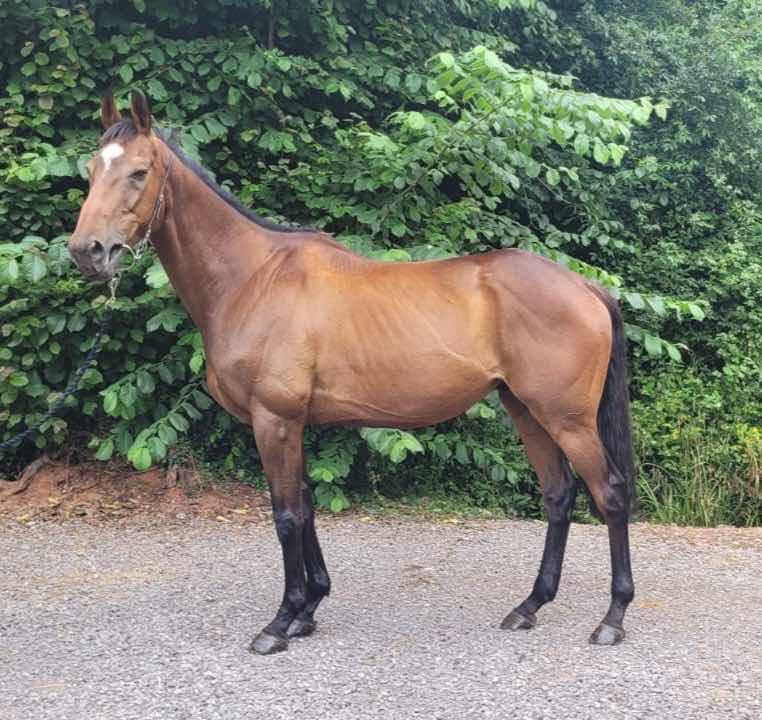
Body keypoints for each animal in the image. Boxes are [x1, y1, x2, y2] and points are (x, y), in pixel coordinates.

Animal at [68, 90, 635, 655]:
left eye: (139, 172)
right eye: (92, 170)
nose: (87, 252)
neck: (253, 278)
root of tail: (586, 286)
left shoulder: (274, 421)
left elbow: (285, 515)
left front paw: (281, 621)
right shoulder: (294, 424)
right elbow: (305, 506)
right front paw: (309, 610)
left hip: (567, 420)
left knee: (609, 495)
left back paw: (612, 618)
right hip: (527, 411)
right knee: (558, 496)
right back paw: (528, 607)